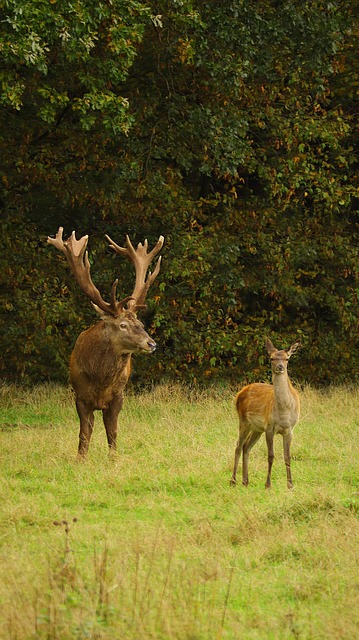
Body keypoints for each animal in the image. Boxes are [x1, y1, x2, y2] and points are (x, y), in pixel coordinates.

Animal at [231, 340, 300, 490]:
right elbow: (271, 455)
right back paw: (233, 480)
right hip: (243, 421)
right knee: (238, 445)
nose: (280, 367)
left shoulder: (289, 430)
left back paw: (245, 480)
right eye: (272, 358)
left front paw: (290, 484)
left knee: (246, 446)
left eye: (287, 358)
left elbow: (287, 457)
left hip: (257, 428)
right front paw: (268, 484)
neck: (284, 412)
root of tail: (240, 393)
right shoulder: (269, 427)